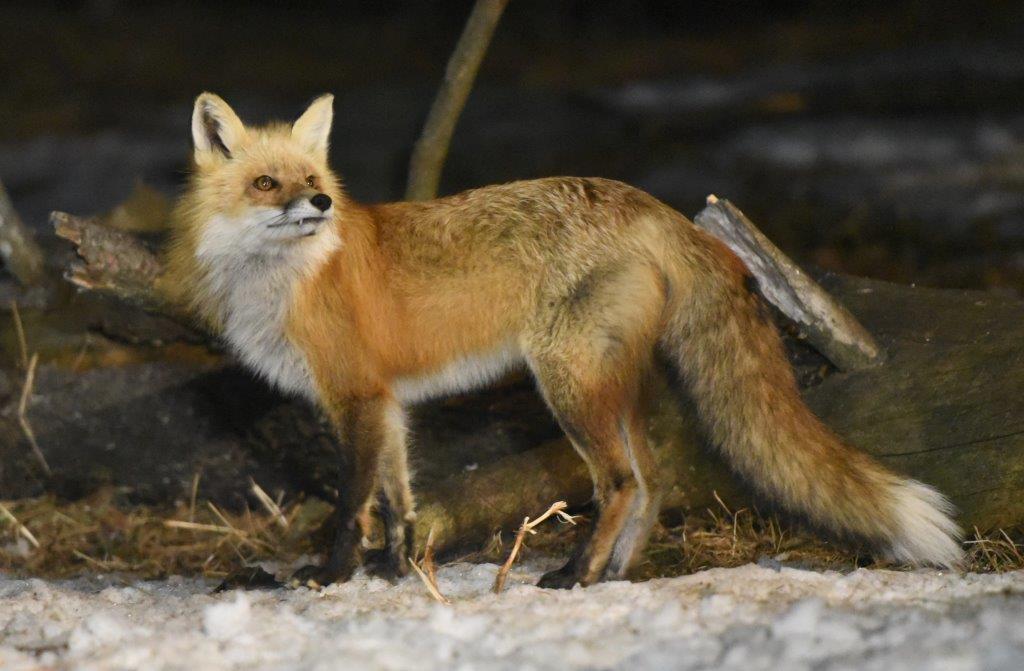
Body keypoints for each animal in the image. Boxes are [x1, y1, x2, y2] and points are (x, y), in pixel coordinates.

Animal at [165, 92, 963, 588]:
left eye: (310, 176)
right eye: (266, 183)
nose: (323, 201)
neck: (287, 279)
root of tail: (648, 202)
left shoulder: (356, 397)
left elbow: (351, 504)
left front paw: (332, 576)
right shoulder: (386, 404)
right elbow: (397, 499)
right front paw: (393, 573)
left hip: (567, 384)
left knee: (621, 482)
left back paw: (575, 574)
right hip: (613, 386)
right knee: (655, 478)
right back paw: (615, 575)